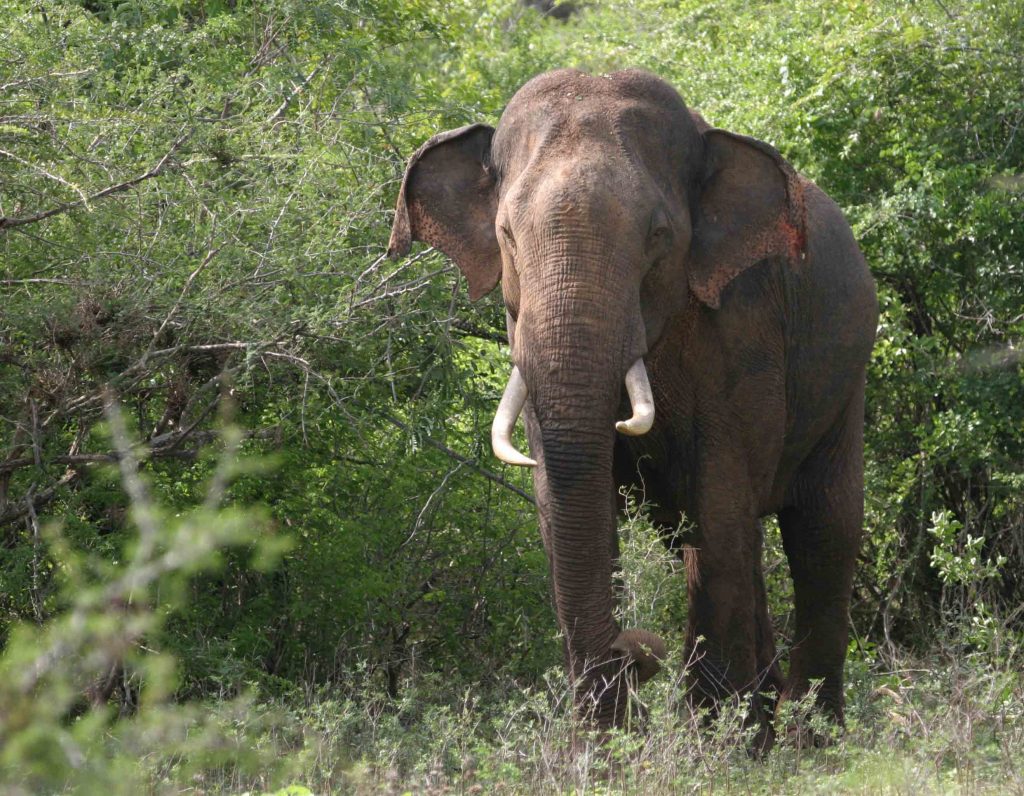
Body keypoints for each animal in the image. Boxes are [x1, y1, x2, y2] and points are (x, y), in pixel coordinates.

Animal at [387, 69, 876, 737]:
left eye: (659, 236)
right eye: (507, 235)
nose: (640, 651)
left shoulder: (745, 325)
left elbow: (721, 504)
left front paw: (713, 745)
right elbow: (563, 503)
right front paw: (603, 744)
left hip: (845, 383)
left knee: (820, 533)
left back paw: (807, 738)